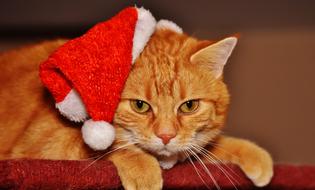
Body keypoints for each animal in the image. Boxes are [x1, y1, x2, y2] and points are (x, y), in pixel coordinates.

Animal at [0, 28, 274, 190]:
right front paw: (142, 167)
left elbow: (208, 146)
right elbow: (110, 144)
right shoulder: (43, 145)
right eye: (140, 106)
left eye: (189, 106)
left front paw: (251, 152)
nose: (166, 136)